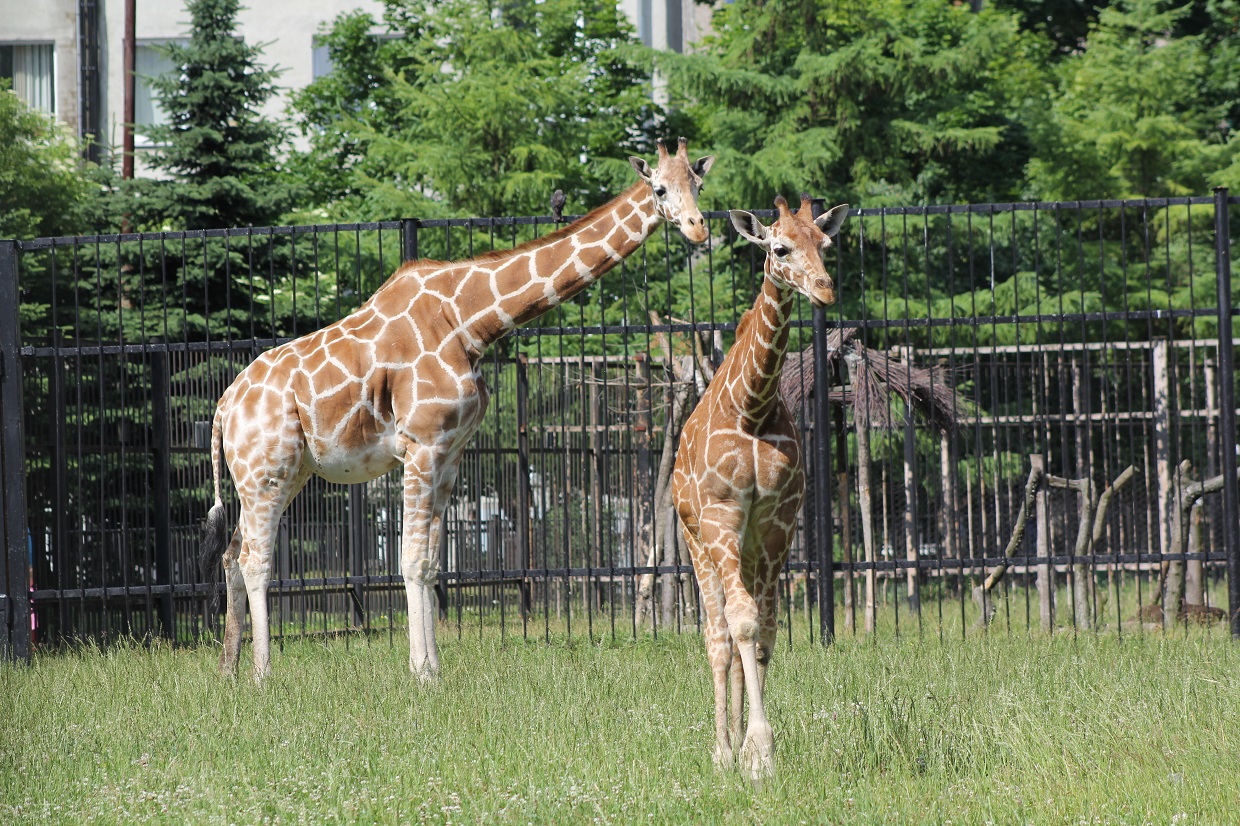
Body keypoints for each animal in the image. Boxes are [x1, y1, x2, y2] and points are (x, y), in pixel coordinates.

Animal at [198, 143, 714, 679]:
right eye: (660, 189)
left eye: (699, 185)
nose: (698, 228)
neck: (470, 321)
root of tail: (223, 406)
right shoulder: (420, 445)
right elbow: (408, 560)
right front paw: (420, 672)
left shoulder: (450, 451)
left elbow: (430, 564)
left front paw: (434, 669)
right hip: (265, 471)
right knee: (255, 559)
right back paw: (262, 673)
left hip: (283, 472)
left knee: (232, 553)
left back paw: (229, 670)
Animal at [669, 195, 853, 773]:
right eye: (780, 248)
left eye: (826, 244)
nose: (825, 288)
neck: (751, 407)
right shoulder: (722, 516)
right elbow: (742, 624)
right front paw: (756, 751)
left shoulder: (776, 525)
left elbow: (766, 632)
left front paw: (756, 747)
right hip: (698, 545)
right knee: (717, 637)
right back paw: (720, 751)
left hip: (747, 549)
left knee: (734, 634)